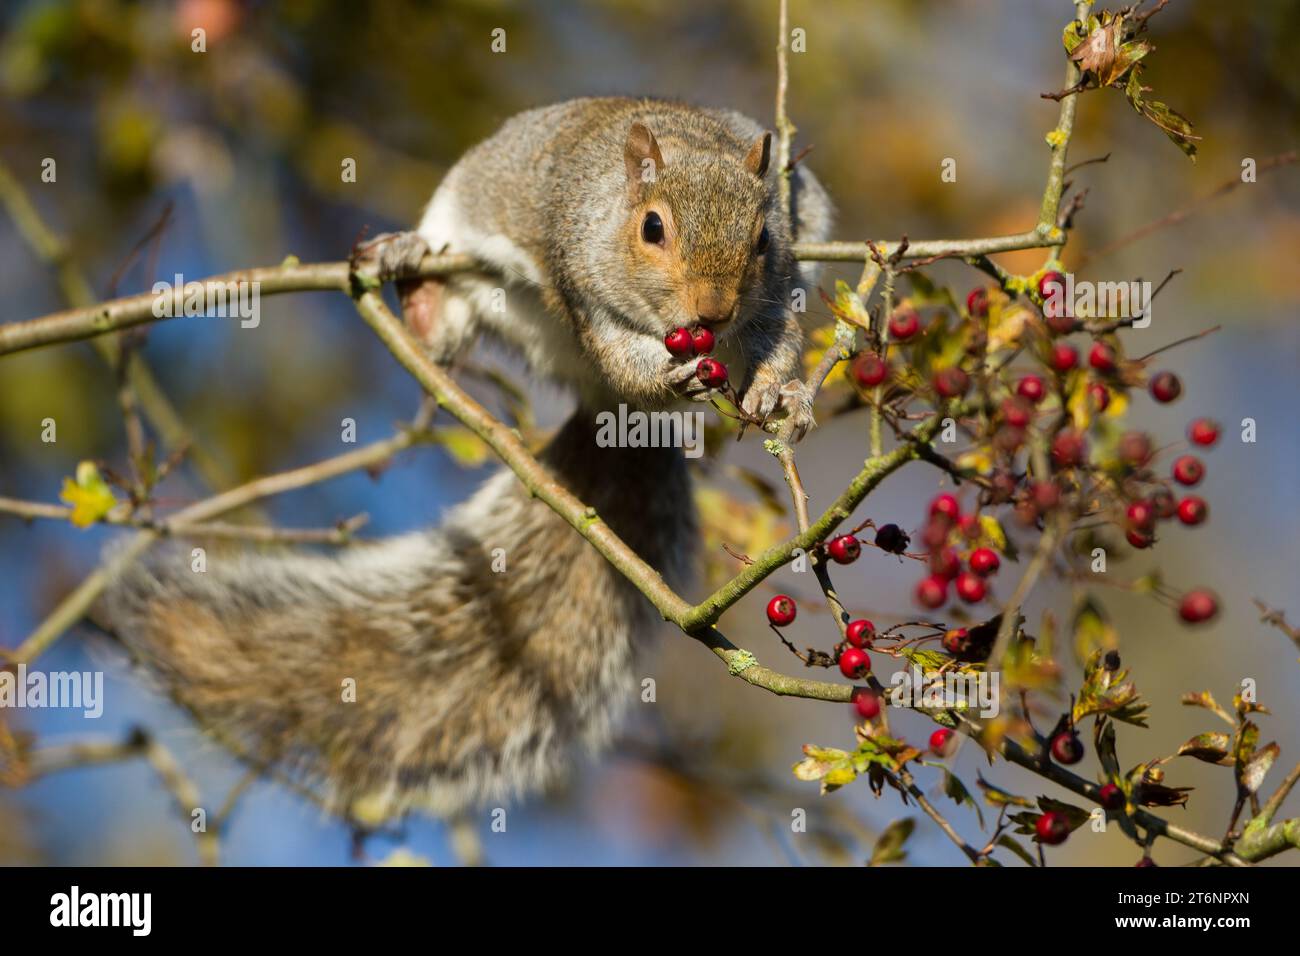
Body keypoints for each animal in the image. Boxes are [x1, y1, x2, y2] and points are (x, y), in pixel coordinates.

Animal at [101, 100, 832, 827]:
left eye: (762, 239)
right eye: (652, 228)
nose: (713, 312)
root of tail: (602, 405)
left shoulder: (780, 289)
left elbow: (780, 338)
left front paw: (782, 395)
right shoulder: (577, 274)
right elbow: (620, 352)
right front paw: (668, 376)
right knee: (450, 335)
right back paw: (416, 287)